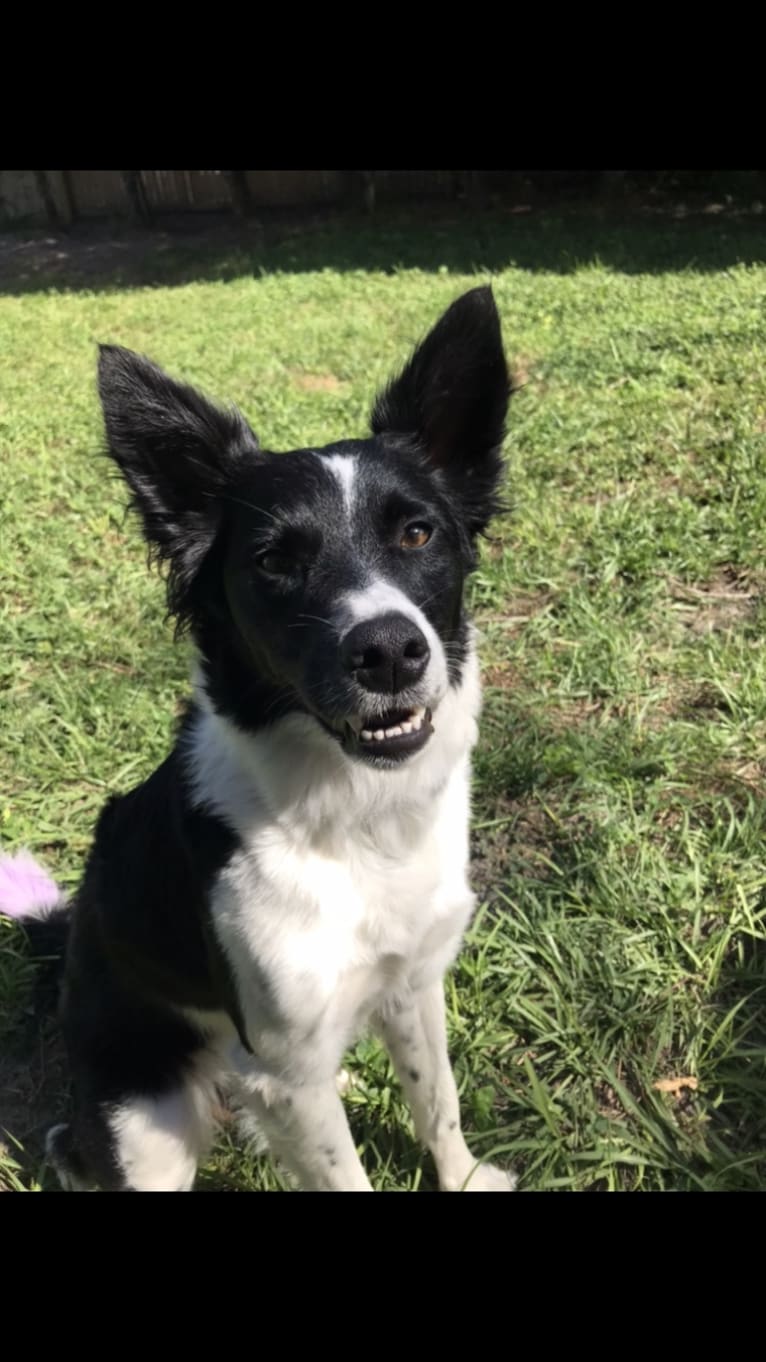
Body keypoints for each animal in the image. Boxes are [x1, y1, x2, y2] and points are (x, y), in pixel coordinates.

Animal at [2, 287, 515, 1193]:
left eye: (417, 534)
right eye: (275, 562)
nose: (389, 651)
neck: (353, 816)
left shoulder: (411, 984)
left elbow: (438, 1100)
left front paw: (460, 1177)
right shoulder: (285, 1068)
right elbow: (346, 1174)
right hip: (149, 1124)